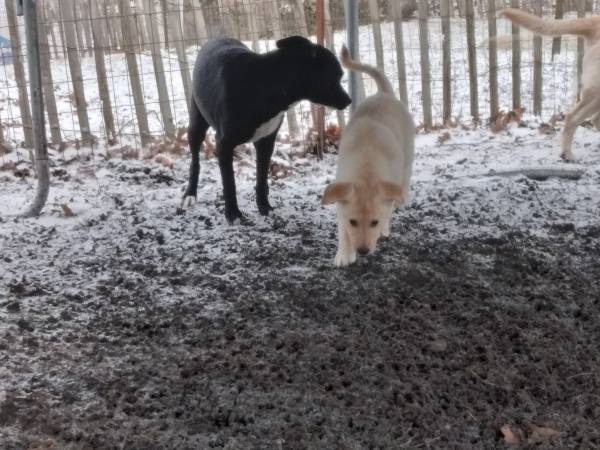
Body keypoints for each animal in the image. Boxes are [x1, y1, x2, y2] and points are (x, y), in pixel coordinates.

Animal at [183, 36, 352, 223]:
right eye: (336, 76)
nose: (349, 101)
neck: (267, 83)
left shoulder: (266, 141)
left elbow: (262, 177)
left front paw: (264, 206)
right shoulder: (224, 143)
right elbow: (229, 182)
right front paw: (233, 213)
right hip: (196, 125)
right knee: (195, 160)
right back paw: (190, 194)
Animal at [322, 45, 414, 266]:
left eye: (374, 222)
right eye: (353, 221)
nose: (363, 251)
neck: (366, 169)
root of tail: (384, 93)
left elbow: (388, 209)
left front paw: (382, 228)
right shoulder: (341, 203)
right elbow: (342, 228)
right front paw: (344, 253)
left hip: (408, 158)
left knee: (403, 184)